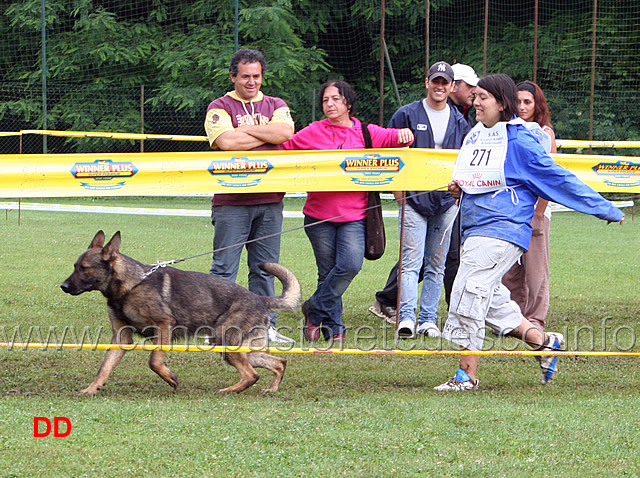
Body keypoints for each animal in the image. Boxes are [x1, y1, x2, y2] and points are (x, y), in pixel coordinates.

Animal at [60, 230, 300, 394]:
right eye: (74, 266)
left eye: (84, 268)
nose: (63, 286)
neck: (130, 284)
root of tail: (259, 298)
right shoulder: (121, 338)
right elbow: (105, 367)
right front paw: (92, 388)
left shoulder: (163, 326)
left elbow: (154, 361)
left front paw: (170, 378)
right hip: (238, 348)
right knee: (278, 363)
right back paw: (271, 388)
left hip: (227, 343)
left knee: (252, 374)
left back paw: (229, 391)